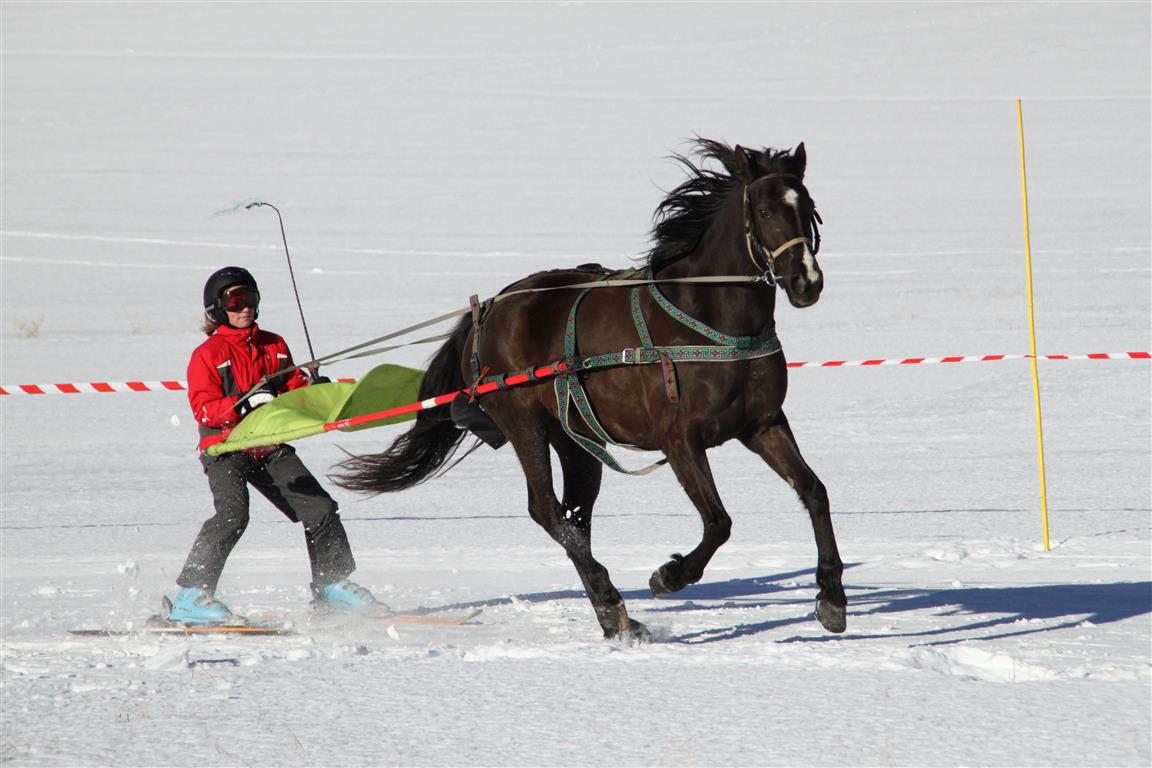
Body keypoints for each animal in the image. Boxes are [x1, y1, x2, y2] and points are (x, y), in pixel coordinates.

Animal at [334, 138, 847, 644]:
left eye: (810, 208)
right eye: (763, 209)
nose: (807, 282)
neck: (709, 318)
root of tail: (489, 310)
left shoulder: (763, 424)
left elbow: (814, 491)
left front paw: (832, 597)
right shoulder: (680, 439)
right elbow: (719, 522)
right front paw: (668, 575)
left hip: (576, 438)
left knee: (575, 516)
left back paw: (610, 612)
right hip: (524, 424)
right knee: (547, 510)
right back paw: (613, 604)